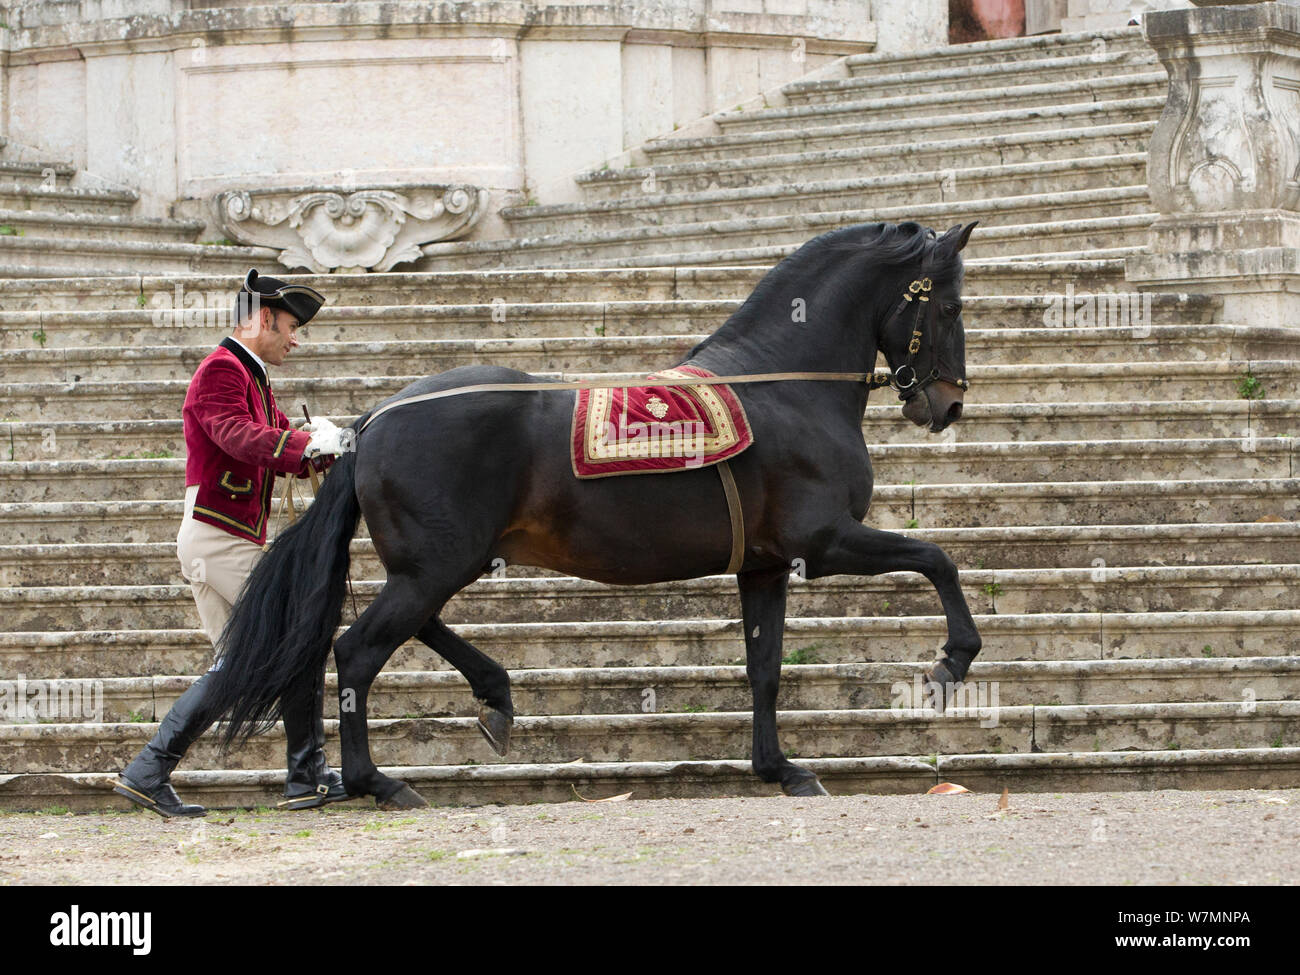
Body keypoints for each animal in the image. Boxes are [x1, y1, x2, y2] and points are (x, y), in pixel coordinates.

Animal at [203, 219, 983, 808]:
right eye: (949, 307)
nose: (947, 404)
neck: (784, 386)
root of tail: (374, 422)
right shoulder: (823, 542)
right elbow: (937, 558)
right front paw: (952, 659)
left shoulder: (765, 565)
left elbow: (764, 666)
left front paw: (779, 768)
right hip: (437, 565)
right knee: (359, 650)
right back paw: (380, 780)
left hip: (435, 564)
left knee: (411, 627)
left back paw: (493, 694)